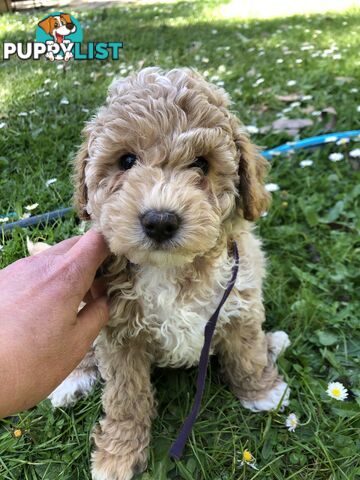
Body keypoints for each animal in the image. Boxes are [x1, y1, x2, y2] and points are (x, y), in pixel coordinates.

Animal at [54, 67, 290, 480]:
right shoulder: (118, 334)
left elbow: (246, 350)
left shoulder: (240, 293)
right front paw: (118, 456)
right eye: (126, 160)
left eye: (201, 164)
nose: (160, 221)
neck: (172, 269)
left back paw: (272, 342)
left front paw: (262, 392)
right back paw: (73, 379)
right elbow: (126, 398)